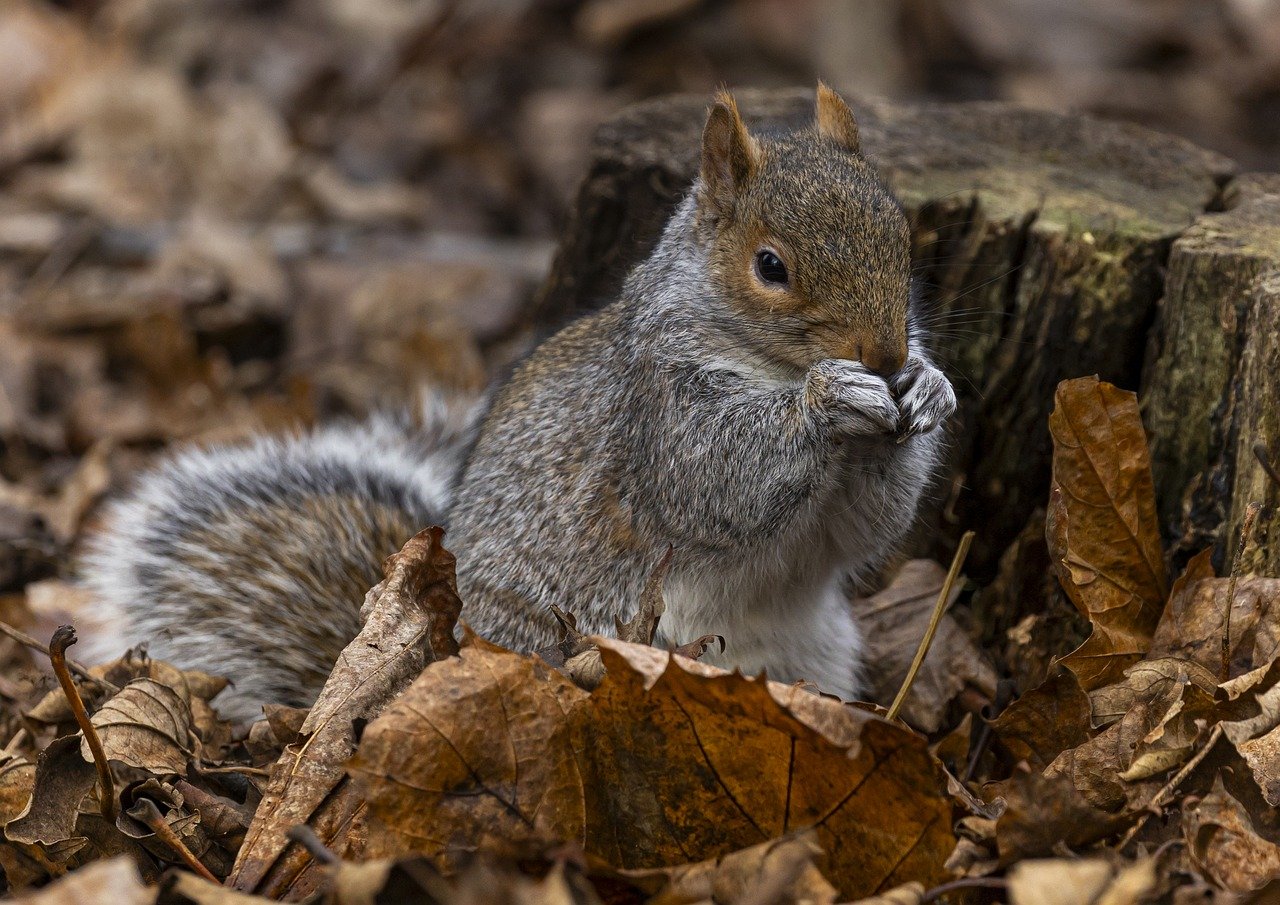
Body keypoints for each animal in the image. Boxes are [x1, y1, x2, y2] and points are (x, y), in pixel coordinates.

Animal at [81, 85, 955, 722]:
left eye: (900, 236)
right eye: (770, 266)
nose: (884, 356)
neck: (763, 360)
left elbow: (864, 527)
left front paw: (929, 388)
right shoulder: (656, 409)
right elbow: (715, 480)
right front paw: (830, 395)